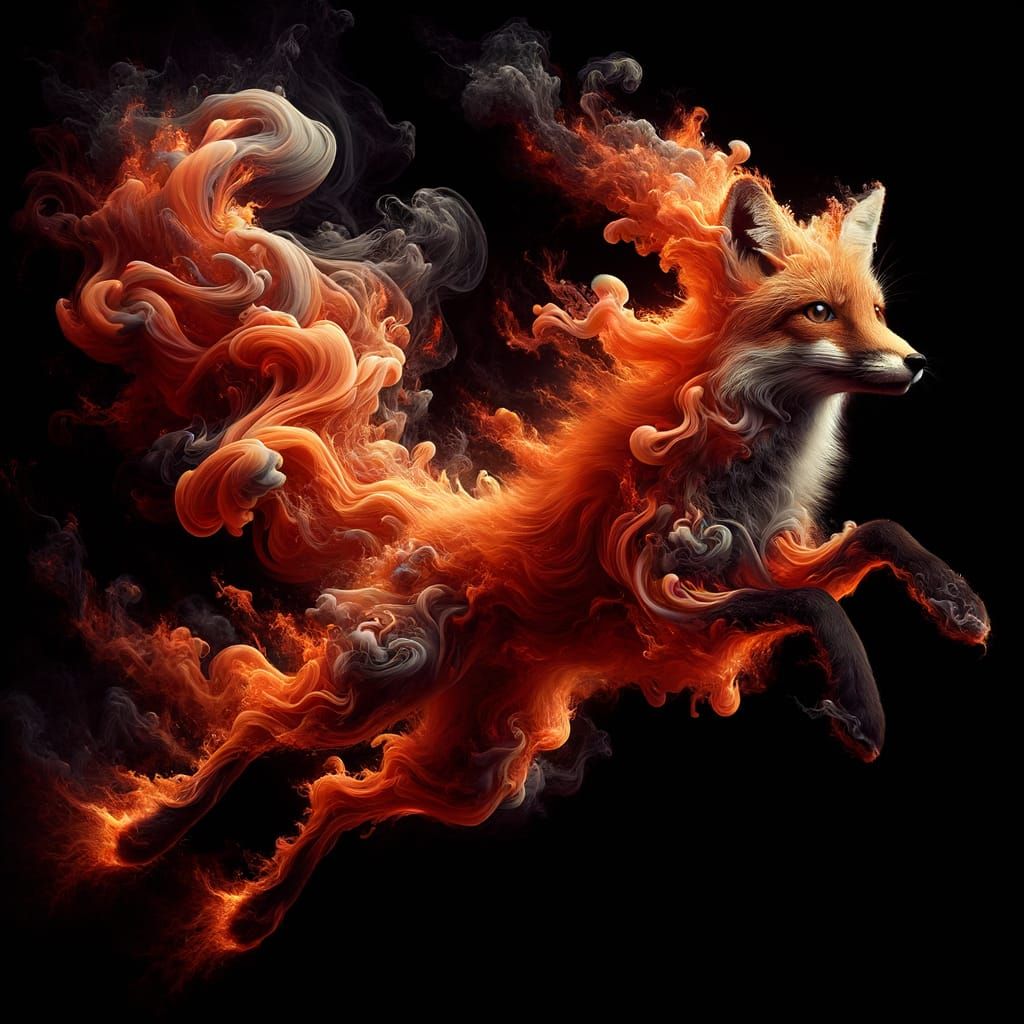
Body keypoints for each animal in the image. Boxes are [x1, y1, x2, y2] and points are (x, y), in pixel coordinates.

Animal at [26, 37, 988, 960]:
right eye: (819, 312)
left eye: (877, 308)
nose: (915, 363)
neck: (747, 464)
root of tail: (442, 522)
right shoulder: (662, 595)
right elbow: (819, 606)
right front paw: (863, 709)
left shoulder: (750, 568)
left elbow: (877, 538)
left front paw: (956, 603)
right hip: (382, 682)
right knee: (266, 723)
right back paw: (150, 834)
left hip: (475, 770)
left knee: (341, 798)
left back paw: (256, 911)